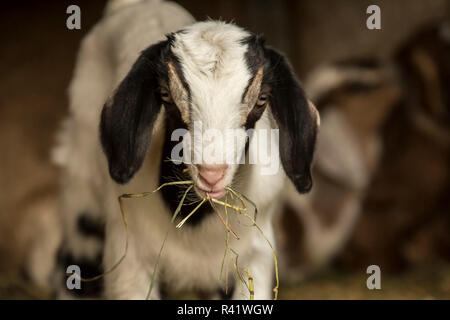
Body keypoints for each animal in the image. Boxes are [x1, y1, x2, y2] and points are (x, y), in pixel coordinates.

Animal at [52, 0, 318, 300]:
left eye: (262, 99)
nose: (211, 174)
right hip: (81, 175)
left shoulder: (255, 259)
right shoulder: (131, 261)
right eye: (165, 95)